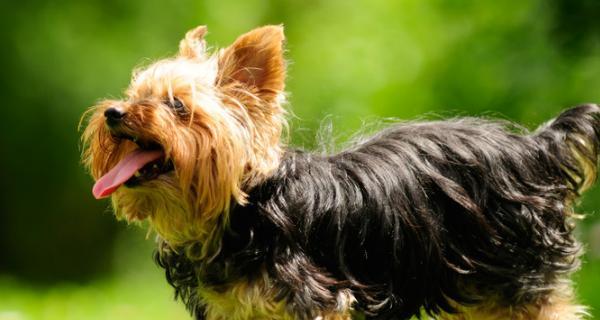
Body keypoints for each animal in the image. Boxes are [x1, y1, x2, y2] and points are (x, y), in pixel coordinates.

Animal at [81, 25, 600, 320]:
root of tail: (535, 146)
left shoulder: (318, 302)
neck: (238, 210)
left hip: (516, 277)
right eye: (134, 94)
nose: (114, 113)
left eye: (177, 107)